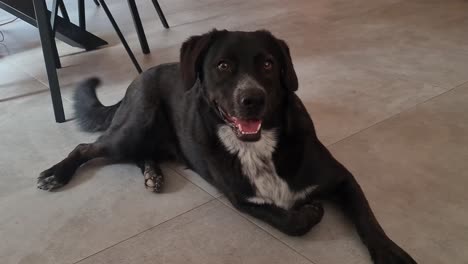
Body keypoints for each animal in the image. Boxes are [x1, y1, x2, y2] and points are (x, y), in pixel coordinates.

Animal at [38, 29, 414, 262]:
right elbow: (290, 222)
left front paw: (389, 251)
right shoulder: (242, 199)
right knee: (86, 148)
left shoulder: (341, 178)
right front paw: (310, 213)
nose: (252, 99)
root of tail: (139, 76)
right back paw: (57, 173)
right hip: (134, 128)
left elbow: (367, 218)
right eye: (223, 65)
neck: (260, 148)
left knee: (139, 154)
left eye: (268, 64)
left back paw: (153, 174)